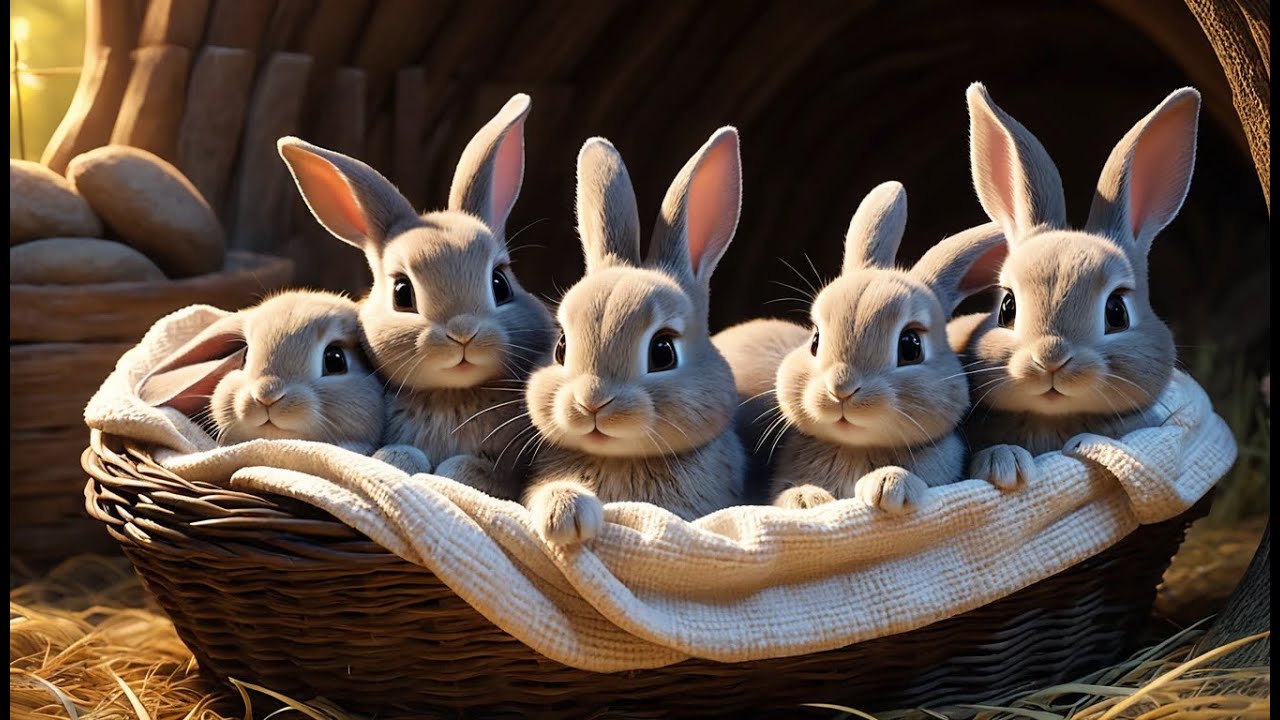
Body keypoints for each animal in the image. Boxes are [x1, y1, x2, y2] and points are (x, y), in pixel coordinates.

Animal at [277, 93, 555, 498]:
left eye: (500, 283)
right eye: (402, 293)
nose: (463, 334)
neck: (452, 394)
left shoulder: (510, 466)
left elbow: (479, 471)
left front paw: (453, 474)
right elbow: (399, 454)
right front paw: (399, 463)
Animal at [721, 182, 1006, 513]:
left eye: (911, 346)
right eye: (815, 340)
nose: (841, 389)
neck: (855, 447)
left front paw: (890, 485)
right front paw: (808, 499)